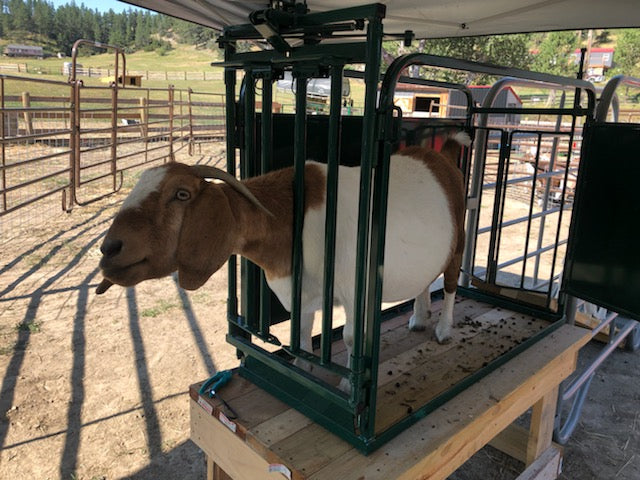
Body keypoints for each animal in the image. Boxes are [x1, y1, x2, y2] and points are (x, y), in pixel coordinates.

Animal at [96, 131, 470, 387]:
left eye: (182, 194)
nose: (109, 249)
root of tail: (443, 157)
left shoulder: (355, 290)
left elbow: (351, 338)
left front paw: (346, 383)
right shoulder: (300, 290)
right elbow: (300, 333)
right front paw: (303, 370)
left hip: (459, 240)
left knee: (451, 282)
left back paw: (443, 329)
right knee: (425, 280)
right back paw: (419, 318)